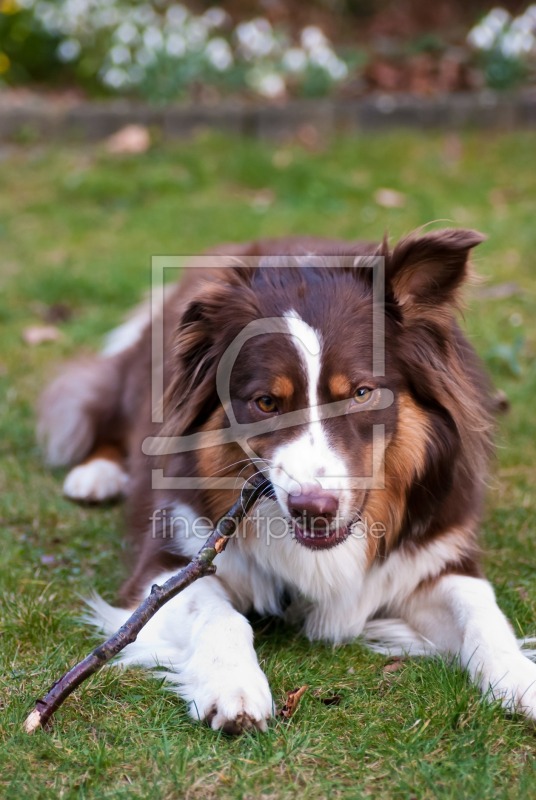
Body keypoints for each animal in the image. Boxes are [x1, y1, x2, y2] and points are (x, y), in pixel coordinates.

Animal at [39, 230, 536, 732]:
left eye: (362, 393)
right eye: (266, 403)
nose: (312, 509)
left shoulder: (433, 555)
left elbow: (480, 607)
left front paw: (520, 676)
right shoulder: (167, 561)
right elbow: (216, 613)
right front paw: (233, 685)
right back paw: (95, 474)